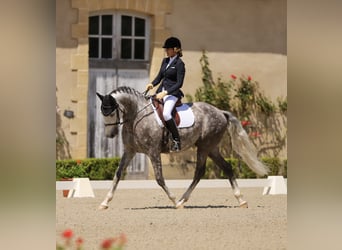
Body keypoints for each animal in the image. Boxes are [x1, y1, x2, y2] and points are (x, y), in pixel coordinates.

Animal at [95, 86, 268, 209]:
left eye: (111, 113)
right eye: (102, 113)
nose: (110, 135)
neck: (136, 116)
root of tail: (220, 111)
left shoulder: (153, 151)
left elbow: (159, 178)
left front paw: (173, 201)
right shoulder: (130, 151)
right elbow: (118, 174)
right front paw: (105, 202)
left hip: (205, 147)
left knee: (199, 172)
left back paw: (181, 201)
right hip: (211, 148)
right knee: (225, 168)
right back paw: (240, 200)